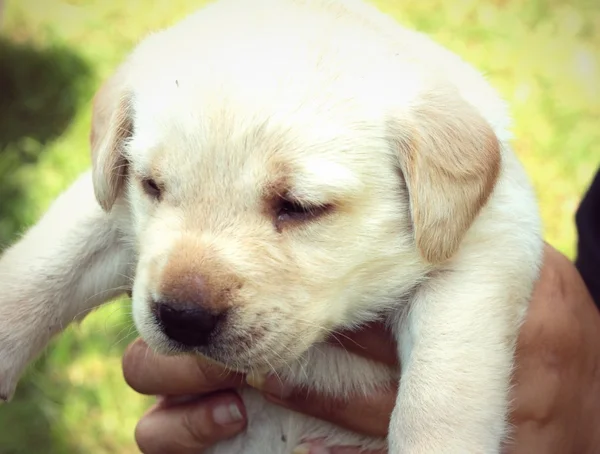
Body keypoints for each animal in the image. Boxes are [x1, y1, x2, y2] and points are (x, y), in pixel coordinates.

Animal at [0, 0, 544, 452]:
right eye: (151, 185)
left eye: (299, 206)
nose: (182, 317)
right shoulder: (105, 208)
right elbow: (40, 274)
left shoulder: (484, 250)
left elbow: (442, 394)